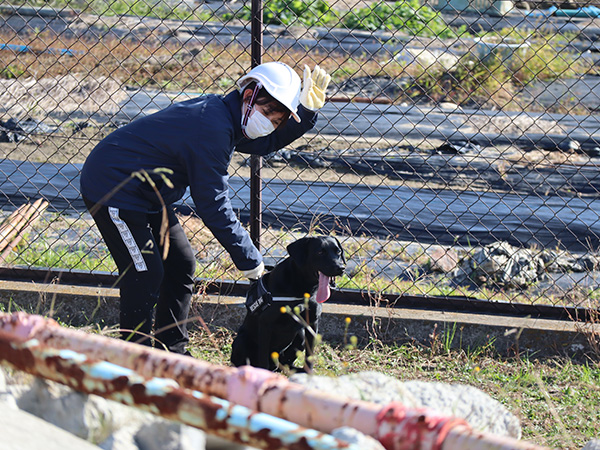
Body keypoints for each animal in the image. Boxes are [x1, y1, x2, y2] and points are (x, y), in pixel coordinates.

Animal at [231, 236, 344, 372]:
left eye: (338, 252)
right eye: (320, 252)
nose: (341, 268)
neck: (302, 289)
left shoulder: (312, 323)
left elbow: (309, 355)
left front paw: (308, 373)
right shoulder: (265, 324)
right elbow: (263, 358)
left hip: (300, 336)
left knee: (284, 364)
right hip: (241, 341)